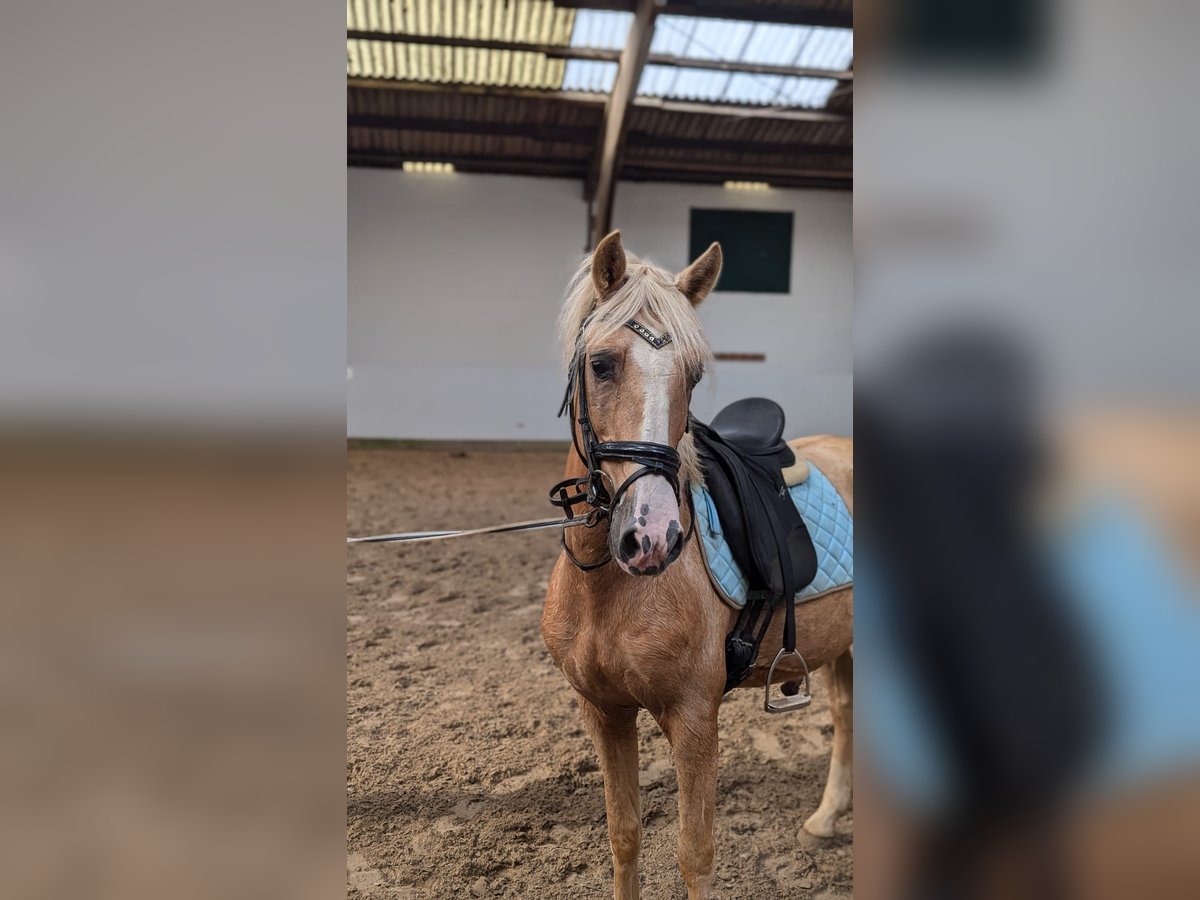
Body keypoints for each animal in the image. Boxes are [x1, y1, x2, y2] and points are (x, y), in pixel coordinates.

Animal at [544, 232, 854, 900]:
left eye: (693, 374)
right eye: (600, 364)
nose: (653, 535)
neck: (607, 589)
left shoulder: (692, 718)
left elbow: (695, 855)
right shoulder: (604, 713)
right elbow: (625, 837)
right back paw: (824, 819)